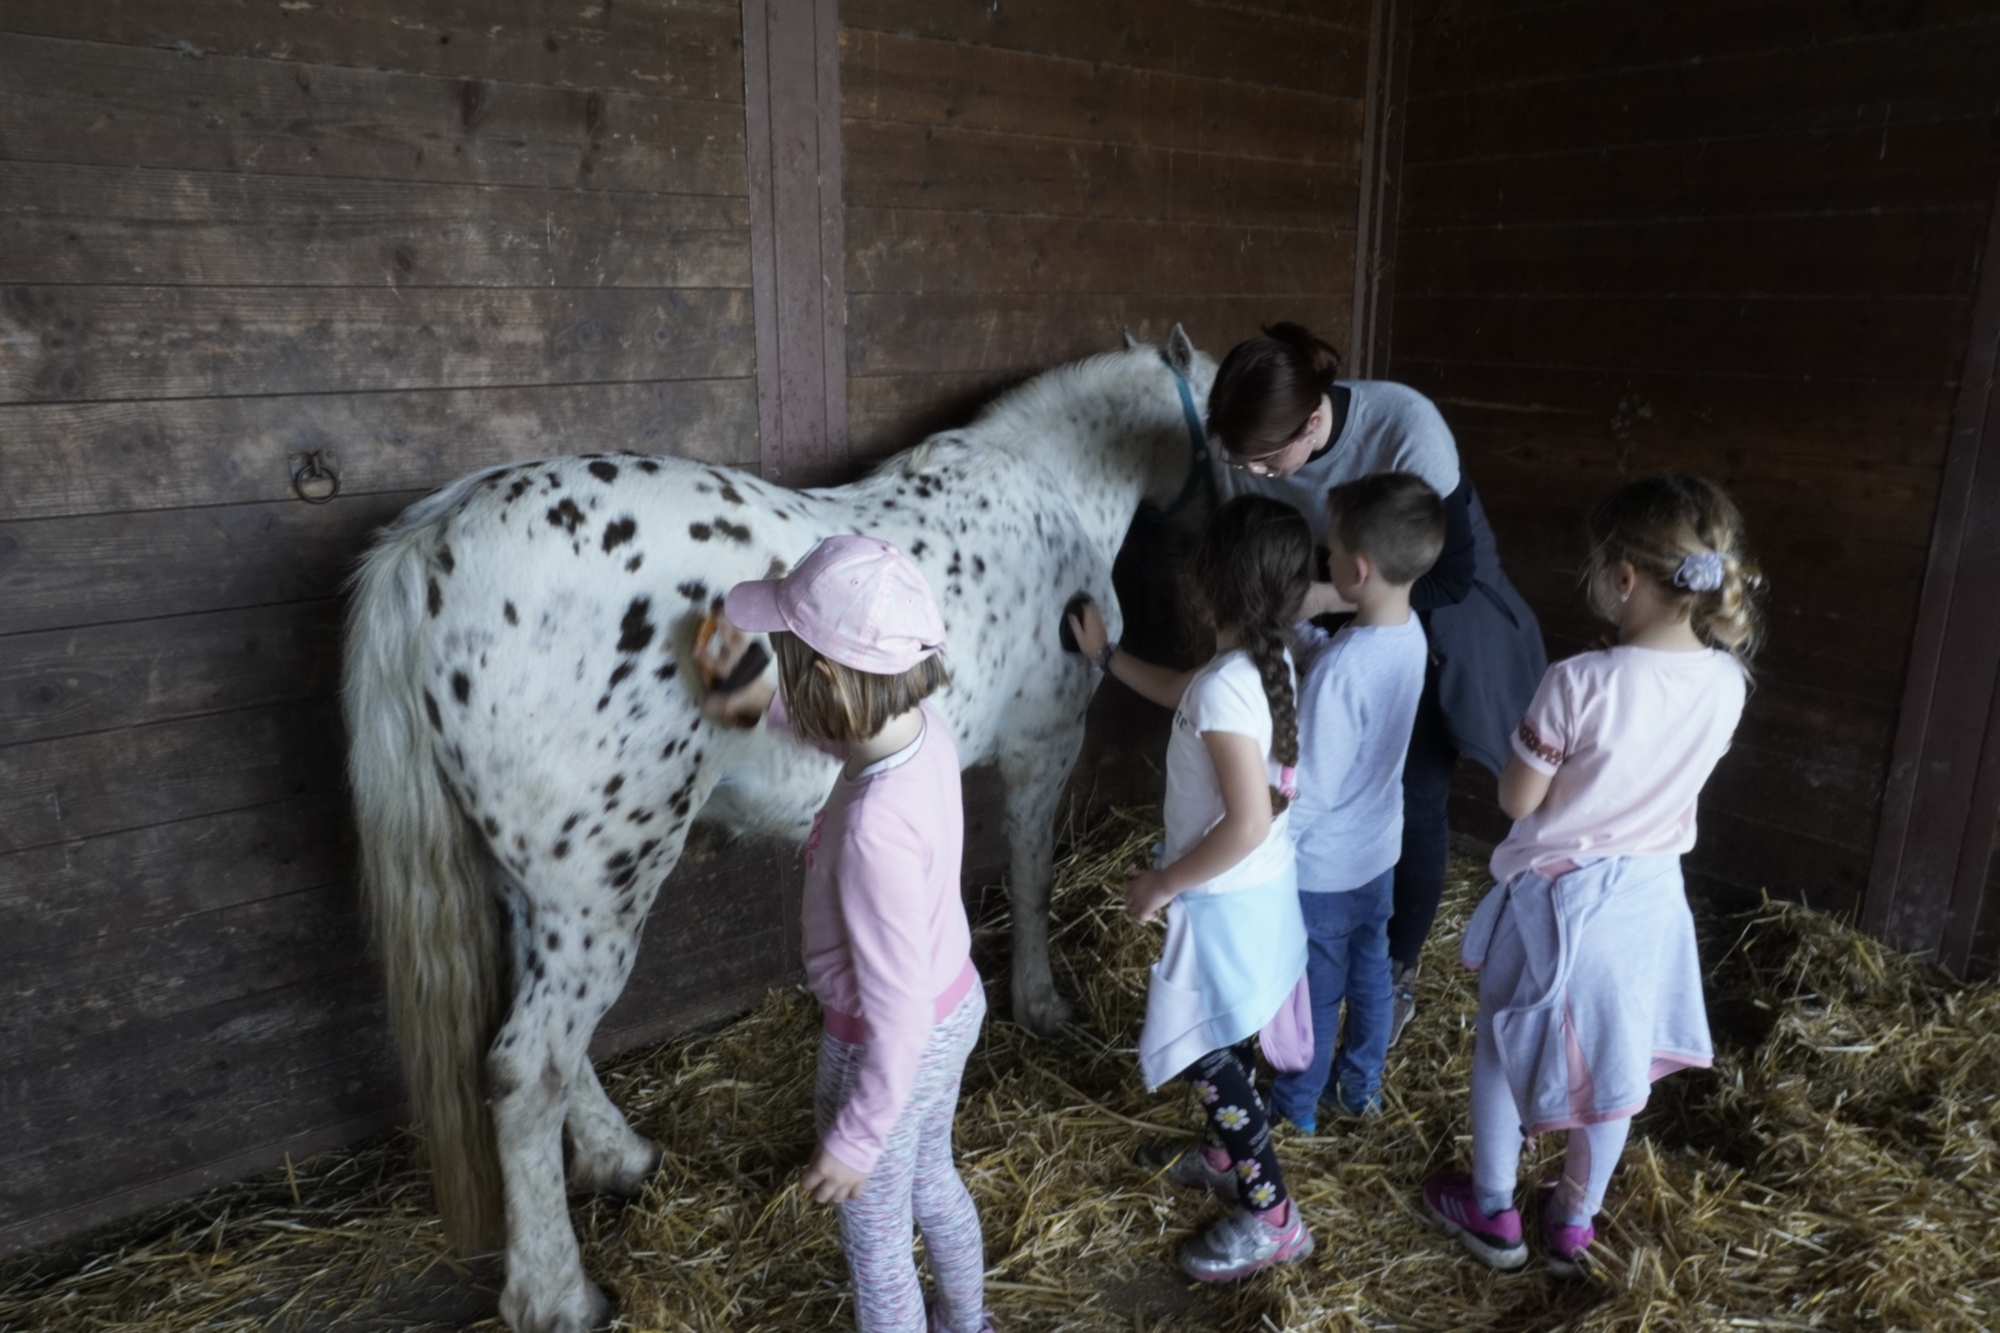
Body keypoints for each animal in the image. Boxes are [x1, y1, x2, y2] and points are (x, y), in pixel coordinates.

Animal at [344, 326, 1216, 1320]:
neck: (1048, 487)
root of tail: (435, 540)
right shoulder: (1046, 746)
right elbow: (1032, 877)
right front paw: (1041, 1001)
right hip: (603, 882)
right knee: (530, 1070)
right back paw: (557, 1295)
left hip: (546, 883)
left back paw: (618, 1157)